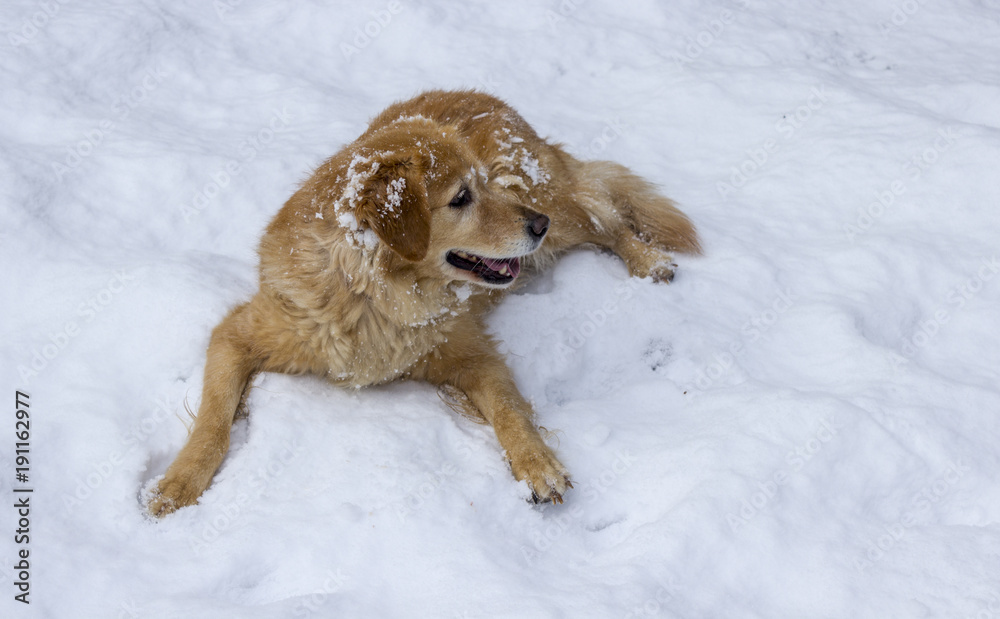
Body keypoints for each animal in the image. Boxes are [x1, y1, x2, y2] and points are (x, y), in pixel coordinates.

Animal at [148, 91, 700, 520]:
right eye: (460, 198)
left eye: (482, 185)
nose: (535, 225)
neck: (374, 293)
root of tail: (491, 98)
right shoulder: (239, 333)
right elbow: (213, 420)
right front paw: (179, 483)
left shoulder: (472, 353)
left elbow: (511, 411)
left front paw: (537, 465)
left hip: (553, 207)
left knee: (603, 217)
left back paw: (648, 259)